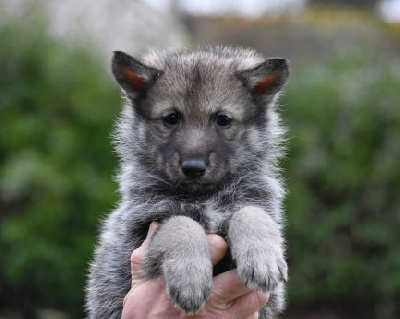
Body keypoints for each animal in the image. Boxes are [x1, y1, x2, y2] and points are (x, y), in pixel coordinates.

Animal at [86, 46, 290, 318]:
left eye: (223, 119)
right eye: (171, 118)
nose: (193, 168)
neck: (204, 196)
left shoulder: (255, 200)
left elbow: (250, 212)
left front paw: (262, 257)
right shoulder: (143, 225)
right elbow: (181, 223)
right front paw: (190, 279)